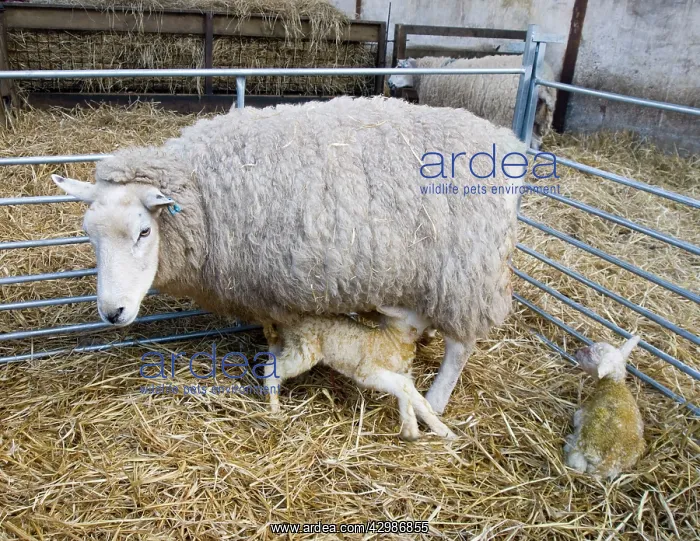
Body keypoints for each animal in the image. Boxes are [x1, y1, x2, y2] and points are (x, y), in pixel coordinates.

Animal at [52, 95, 525, 415]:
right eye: (90, 236)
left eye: (144, 231)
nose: (111, 312)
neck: (204, 195)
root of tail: (504, 141)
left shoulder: (272, 288)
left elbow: (278, 337)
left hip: (467, 270)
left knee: (460, 345)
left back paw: (436, 400)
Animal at [262, 307, 457, 440]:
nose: (441, 318)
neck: (393, 339)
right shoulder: (367, 372)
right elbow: (403, 387)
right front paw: (410, 429)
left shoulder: (404, 373)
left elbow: (419, 400)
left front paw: (445, 432)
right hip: (304, 350)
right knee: (272, 369)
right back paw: (274, 409)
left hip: (290, 343)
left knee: (273, 356)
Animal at [388, 55, 557, 148]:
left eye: (399, 68)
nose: (389, 83)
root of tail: (543, 87)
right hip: (539, 119)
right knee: (535, 143)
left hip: (505, 116)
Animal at [564, 337, 646, 480]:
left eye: (590, 354)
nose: (576, 351)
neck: (614, 384)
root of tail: (608, 461)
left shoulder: (582, 414)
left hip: (581, 444)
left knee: (578, 464)